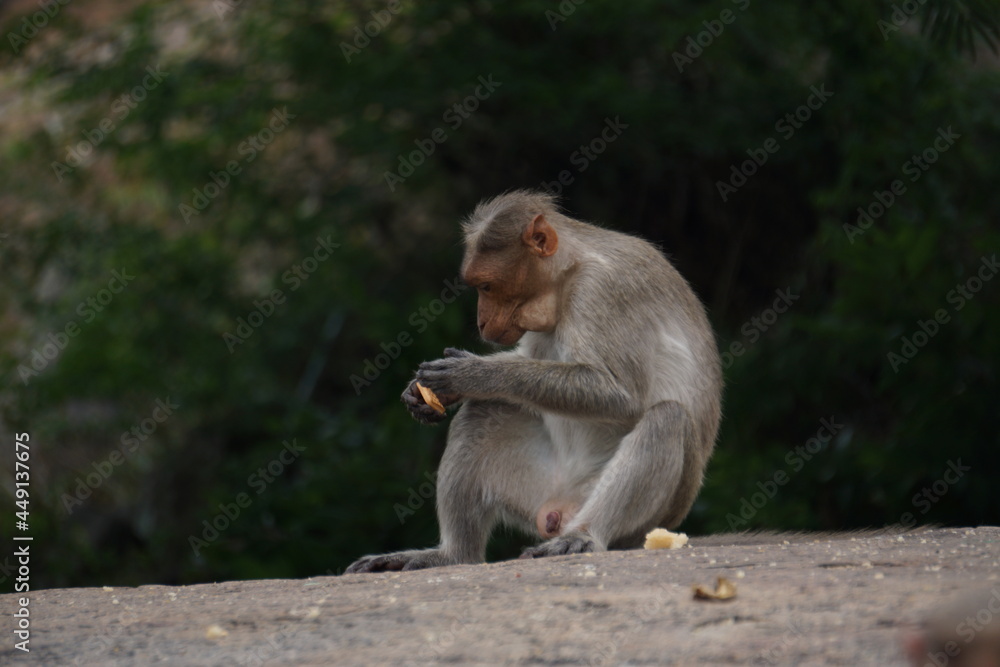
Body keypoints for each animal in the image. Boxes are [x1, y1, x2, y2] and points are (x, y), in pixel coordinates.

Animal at [348, 189, 724, 576]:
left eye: (487, 286)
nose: (481, 322)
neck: (570, 272)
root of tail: (561, 506)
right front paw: (426, 392)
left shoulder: (606, 291)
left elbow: (619, 393)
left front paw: (472, 374)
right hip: (534, 488)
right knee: (484, 411)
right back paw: (453, 555)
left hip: (644, 516)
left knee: (668, 419)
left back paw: (584, 535)